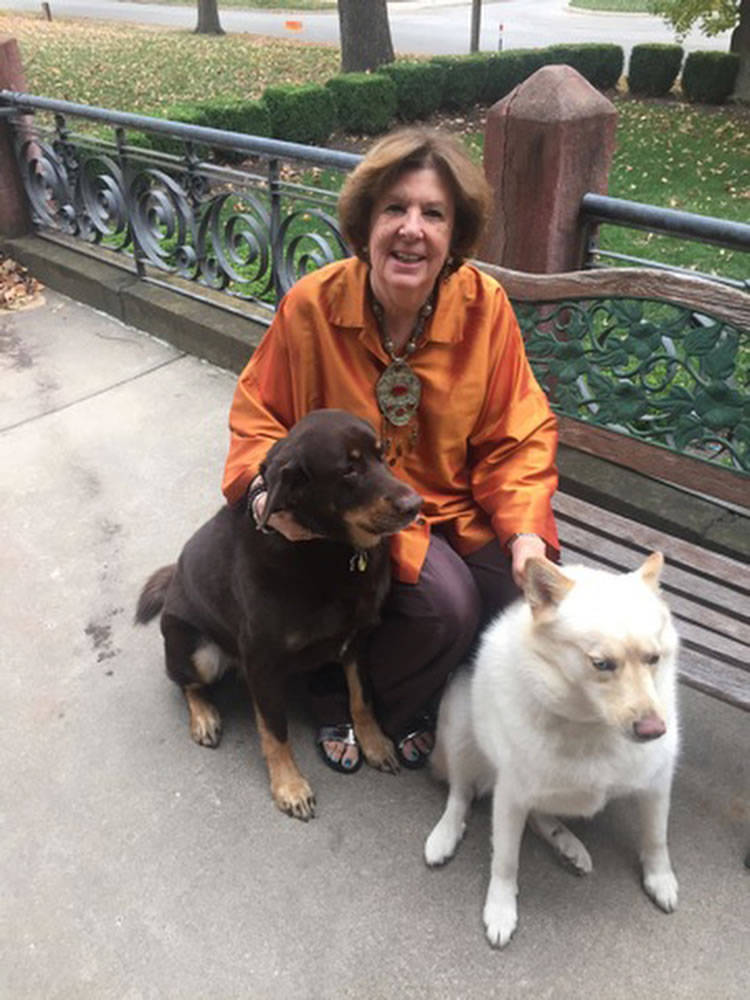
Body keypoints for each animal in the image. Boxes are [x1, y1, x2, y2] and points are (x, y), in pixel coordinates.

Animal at [137, 406, 424, 820]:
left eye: (382, 454)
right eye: (348, 470)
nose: (416, 505)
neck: (329, 551)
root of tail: (174, 578)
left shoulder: (358, 637)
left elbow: (362, 698)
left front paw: (374, 743)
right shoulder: (261, 659)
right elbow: (275, 730)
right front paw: (289, 785)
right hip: (199, 651)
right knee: (185, 682)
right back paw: (204, 715)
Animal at [424, 552, 680, 948]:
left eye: (653, 659)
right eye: (601, 664)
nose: (654, 730)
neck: (592, 727)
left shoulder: (656, 783)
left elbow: (656, 838)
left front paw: (659, 878)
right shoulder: (511, 796)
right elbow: (505, 860)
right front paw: (501, 908)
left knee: (539, 814)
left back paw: (567, 844)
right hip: (461, 727)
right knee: (460, 793)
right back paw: (445, 834)